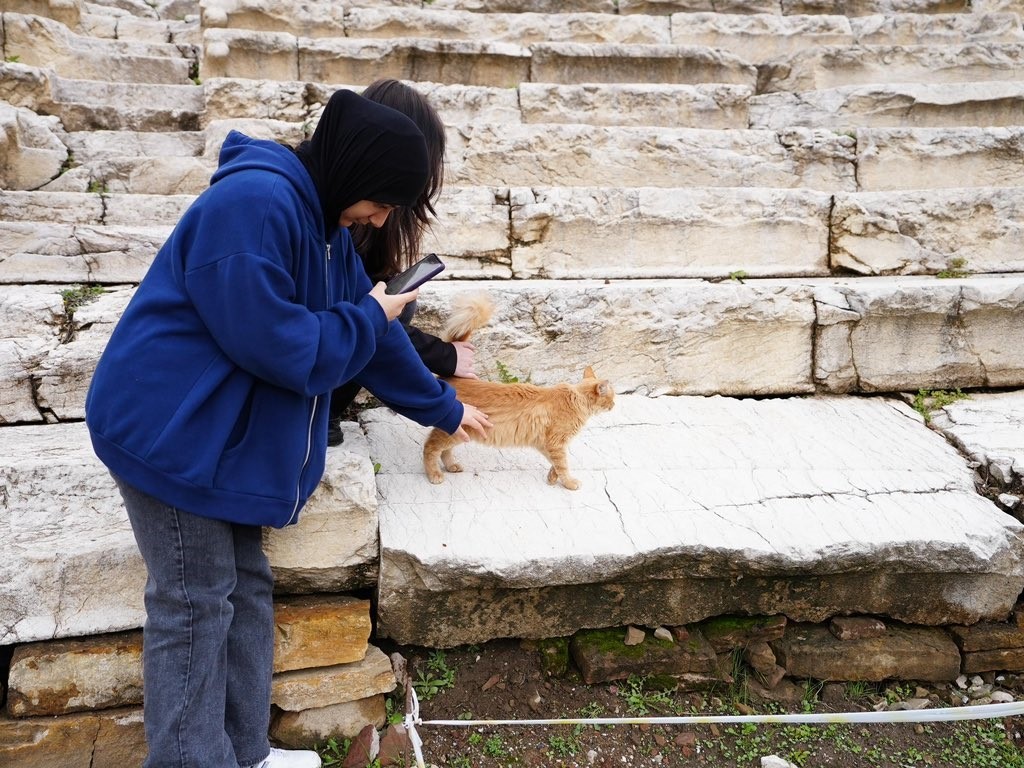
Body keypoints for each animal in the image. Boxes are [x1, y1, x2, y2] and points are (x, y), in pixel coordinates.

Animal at [419, 294, 610, 493]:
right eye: (612, 398)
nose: (613, 405)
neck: (576, 399)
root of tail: (453, 377)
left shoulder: (548, 443)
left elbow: (555, 464)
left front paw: (552, 478)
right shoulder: (556, 443)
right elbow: (563, 465)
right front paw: (569, 482)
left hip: (458, 433)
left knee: (444, 450)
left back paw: (451, 465)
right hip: (456, 430)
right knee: (430, 447)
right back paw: (434, 474)